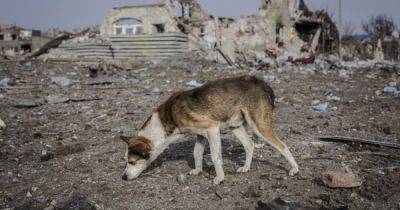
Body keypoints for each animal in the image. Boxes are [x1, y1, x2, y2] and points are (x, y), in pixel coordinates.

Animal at [120, 75, 298, 184]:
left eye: (132, 162)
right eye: (126, 161)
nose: (123, 177)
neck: (167, 119)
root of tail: (261, 82)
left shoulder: (212, 129)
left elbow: (215, 157)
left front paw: (220, 178)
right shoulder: (201, 136)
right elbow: (196, 153)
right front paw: (198, 170)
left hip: (259, 127)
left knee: (283, 146)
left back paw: (294, 169)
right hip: (236, 126)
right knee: (249, 145)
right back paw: (246, 168)